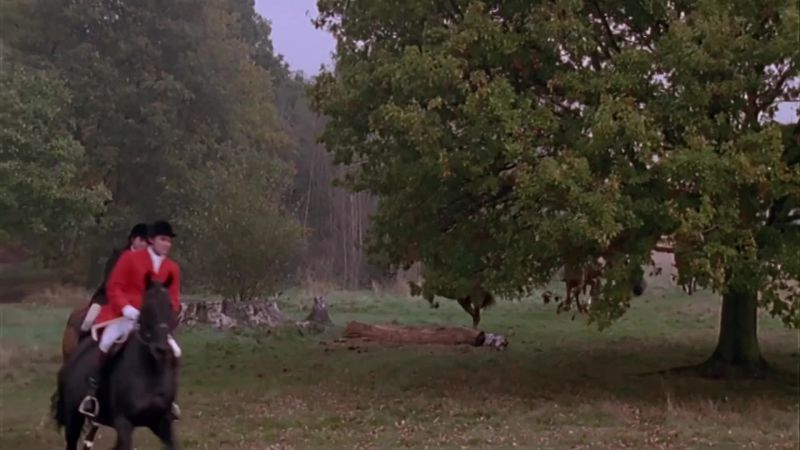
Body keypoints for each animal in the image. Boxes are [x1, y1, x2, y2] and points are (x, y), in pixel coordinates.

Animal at [51, 274, 180, 450]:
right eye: (147, 306)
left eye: (170, 305)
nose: (160, 348)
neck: (150, 371)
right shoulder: (123, 422)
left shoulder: (161, 421)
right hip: (74, 417)